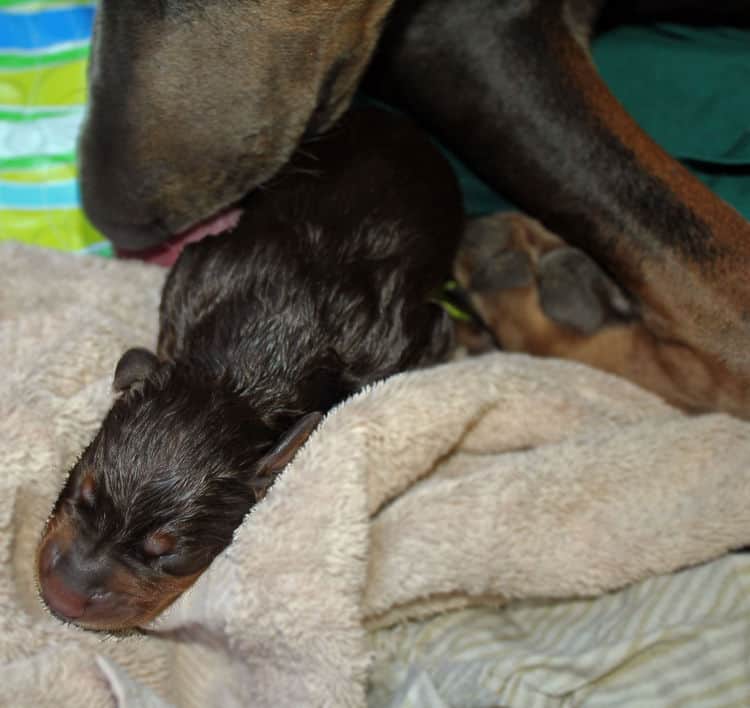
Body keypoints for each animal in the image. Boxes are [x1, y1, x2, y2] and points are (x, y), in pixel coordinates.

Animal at [39, 106, 470, 632]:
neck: (248, 364)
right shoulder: (195, 275)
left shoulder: (403, 342)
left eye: (168, 554)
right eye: (82, 492)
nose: (61, 596)